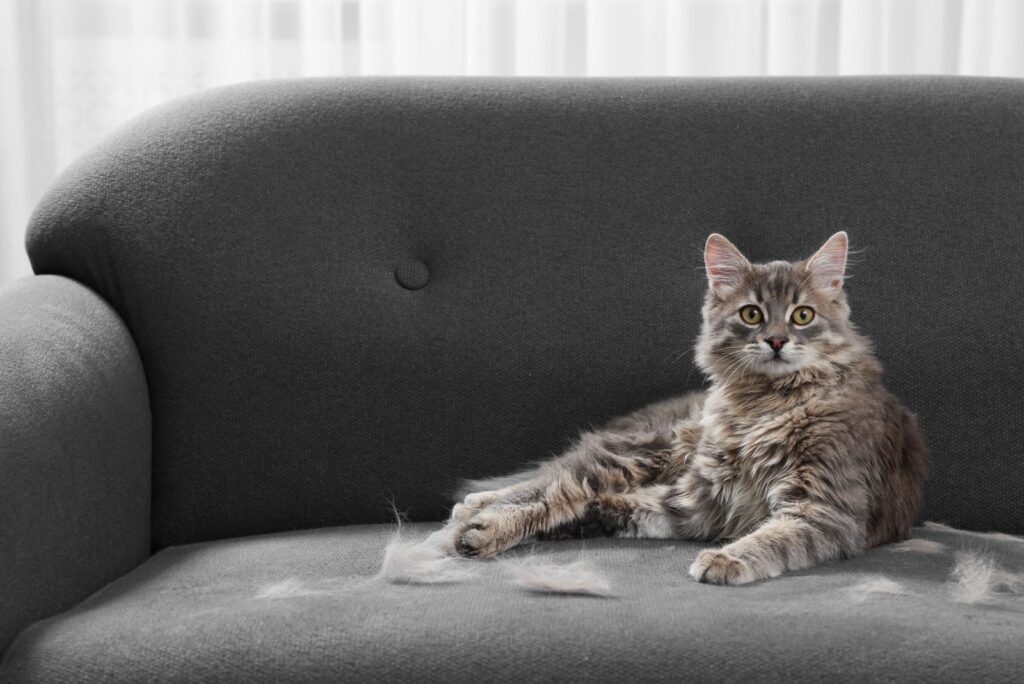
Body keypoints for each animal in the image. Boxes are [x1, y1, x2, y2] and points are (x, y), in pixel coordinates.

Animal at [448, 232, 929, 585]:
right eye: (752, 315)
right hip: (643, 450)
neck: (765, 401)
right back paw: (478, 515)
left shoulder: (819, 510)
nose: (776, 340)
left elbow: (775, 537)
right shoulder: (706, 492)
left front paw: (726, 559)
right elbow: (566, 493)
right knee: (553, 480)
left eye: (803, 316)